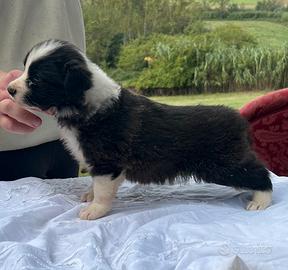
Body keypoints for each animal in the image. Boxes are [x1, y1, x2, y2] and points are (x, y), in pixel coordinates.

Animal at [6, 39, 272, 219]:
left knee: (260, 173)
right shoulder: (101, 164)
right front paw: (89, 196)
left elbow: (103, 190)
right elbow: (97, 184)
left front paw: (94, 210)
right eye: (25, 69)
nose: (9, 89)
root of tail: (239, 119)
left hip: (225, 164)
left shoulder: (106, 161)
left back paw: (261, 201)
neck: (85, 103)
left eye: (36, 80)